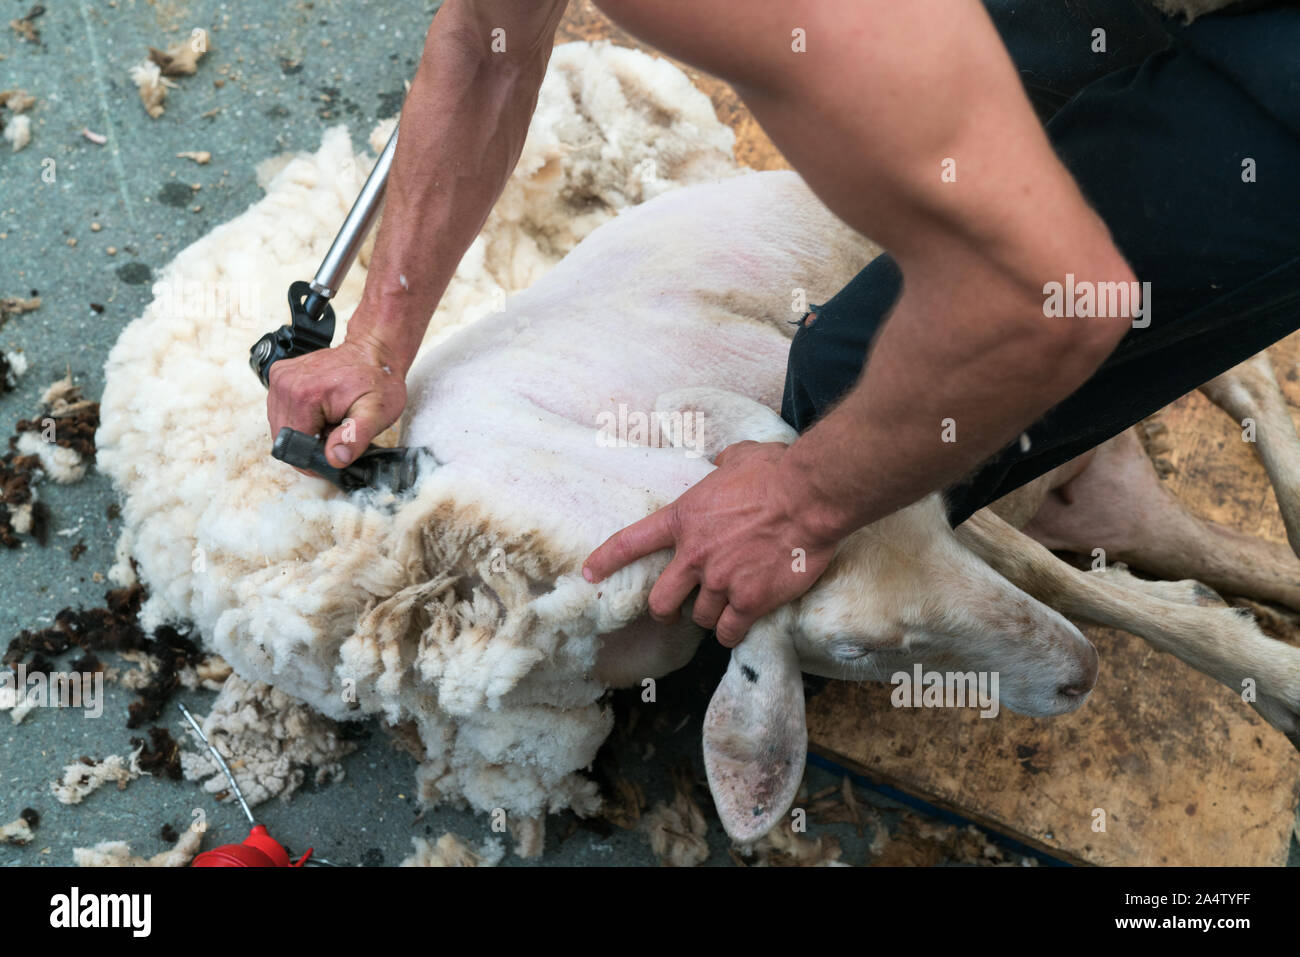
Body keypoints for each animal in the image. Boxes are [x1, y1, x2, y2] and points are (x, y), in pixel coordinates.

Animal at [98, 41, 1300, 858]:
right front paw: (1261, 664)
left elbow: (1064, 581)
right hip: (1097, 481)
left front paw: (1263, 674)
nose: (1076, 680)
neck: (579, 493)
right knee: (1186, 511)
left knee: (1231, 394)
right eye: (850, 653)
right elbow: (1070, 581)